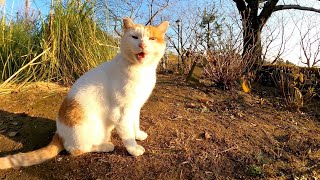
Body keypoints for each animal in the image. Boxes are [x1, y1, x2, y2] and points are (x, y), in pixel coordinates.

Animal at [0, 16, 170, 169]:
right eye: (135, 37)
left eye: (152, 38)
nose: (142, 44)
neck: (142, 71)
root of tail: (59, 134)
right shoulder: (121, 112)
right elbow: (127, 134)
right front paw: (133, 149)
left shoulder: (135, 107)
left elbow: (135, 123)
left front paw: (138, 134)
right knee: (77, 149)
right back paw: (105, 146)